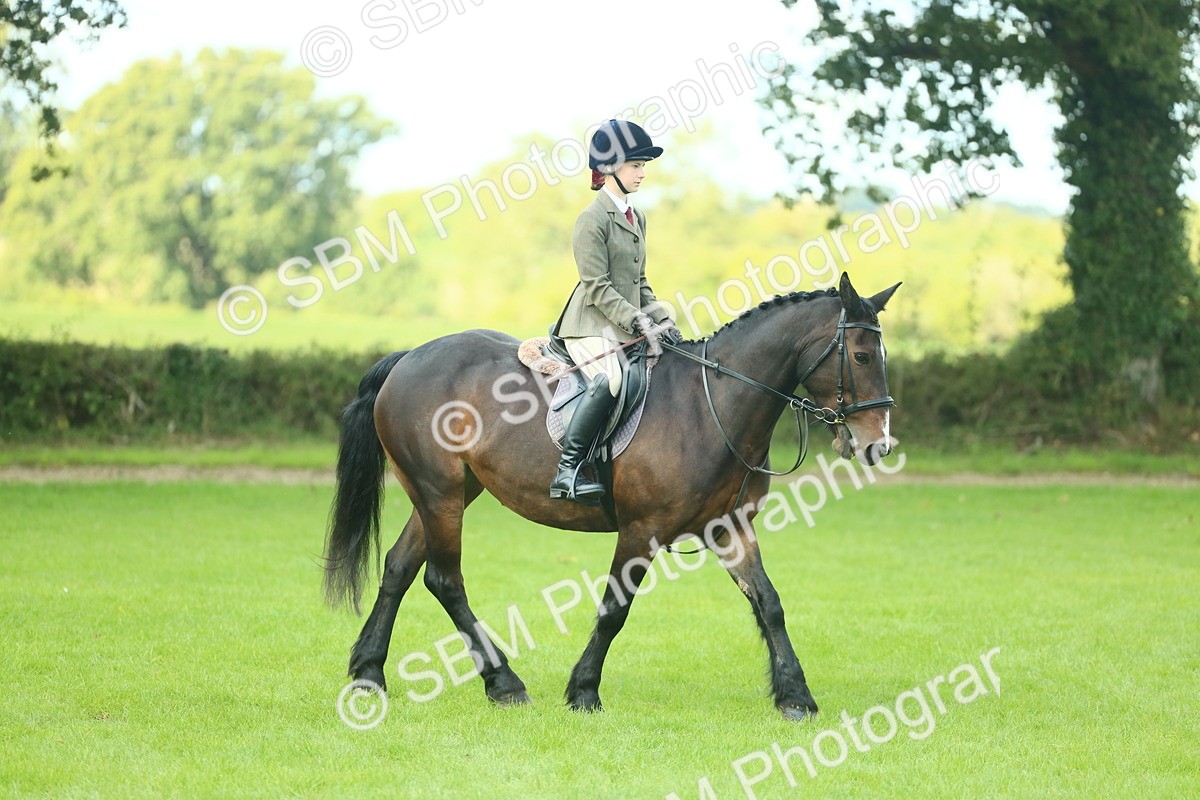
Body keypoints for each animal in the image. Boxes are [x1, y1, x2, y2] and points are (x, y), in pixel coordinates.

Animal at [322, 272, 900, 720]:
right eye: (861, 355)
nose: (879, 445)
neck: (712, 405)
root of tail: (409, 357)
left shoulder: (729, 527)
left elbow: (769, 604)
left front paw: (795, 696)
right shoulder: (642, 530)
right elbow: (613, 610)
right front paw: (583, 691)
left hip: (450, 492)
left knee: (399, 566)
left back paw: (369, 674)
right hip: (439, 492)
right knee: (445, 580)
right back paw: (505, 684)